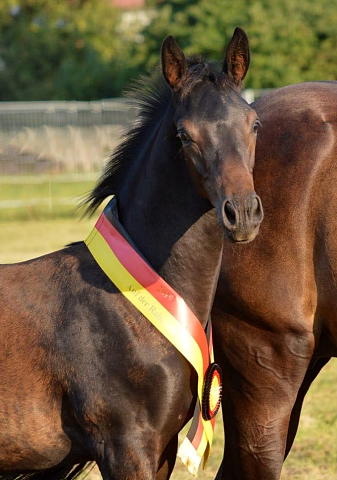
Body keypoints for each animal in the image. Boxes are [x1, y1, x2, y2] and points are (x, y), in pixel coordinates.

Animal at [0, 28, 262, 480]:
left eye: (254, 124)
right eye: (183, 135)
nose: (242, 214)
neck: (129, 301)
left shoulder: (163, 449)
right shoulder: (126, 446)